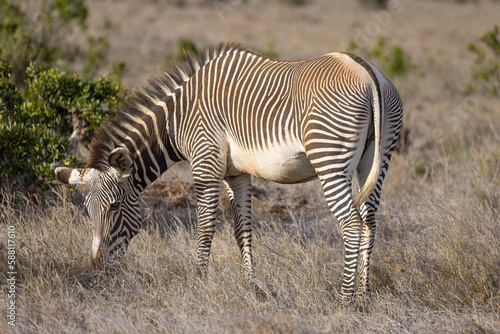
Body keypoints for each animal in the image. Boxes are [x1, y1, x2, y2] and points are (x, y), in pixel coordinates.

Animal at [55, 42, 402, 302]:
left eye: (115, 207)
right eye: (87, 210)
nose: (98, 269)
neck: (176, 120)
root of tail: (366, 72)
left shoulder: (205, 163)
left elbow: (206, 225)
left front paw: (197, 281)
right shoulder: (237, 173)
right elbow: (242, 229)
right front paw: (251, 287)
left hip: (330, 158)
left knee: (351, 224)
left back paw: (344, 301)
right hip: (377, 157)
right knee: (370, 222)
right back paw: (364, 297)